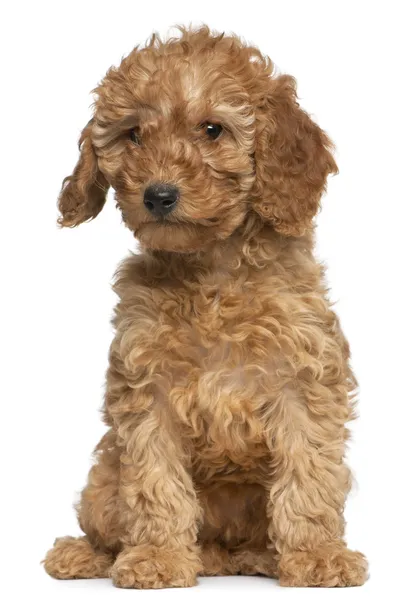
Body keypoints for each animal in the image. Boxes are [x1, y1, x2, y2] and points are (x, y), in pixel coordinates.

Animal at [43, 27, 368, 584]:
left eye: (212, 130)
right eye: (134, 134)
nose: (158, 195)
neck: (212, 271)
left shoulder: (302, 382)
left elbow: (308, 473)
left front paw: (317, 555)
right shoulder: (147, 388)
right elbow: (154, 483)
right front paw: (157, 556)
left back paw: (258, 557)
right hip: (103, 480)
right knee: (106, 524)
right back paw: (86, 554)